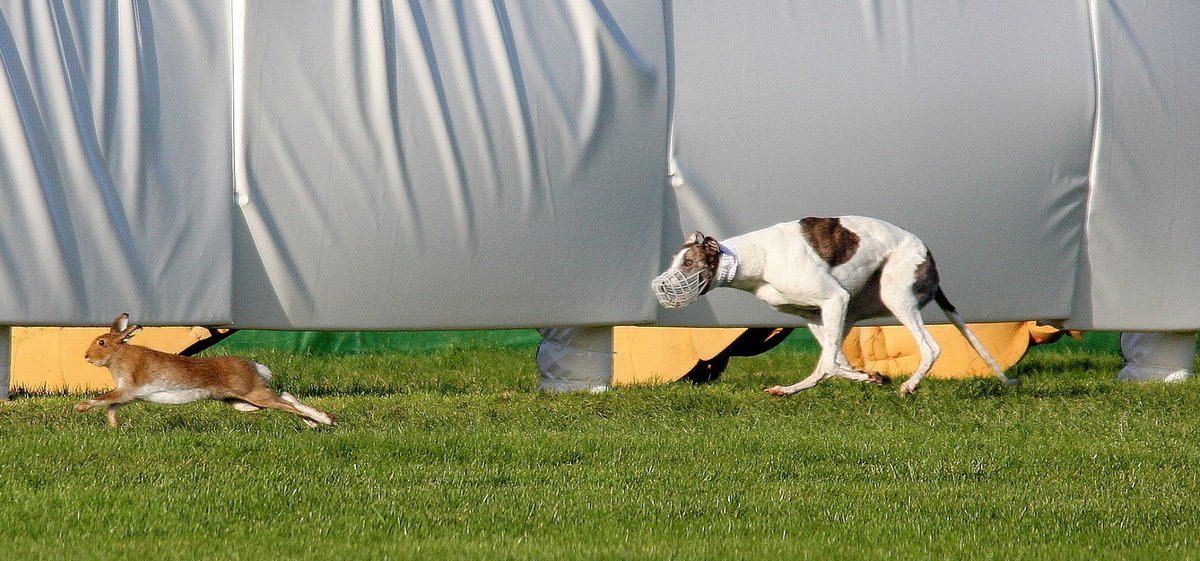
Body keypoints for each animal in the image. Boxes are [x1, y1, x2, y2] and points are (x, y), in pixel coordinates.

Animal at [652, 214, 1017, 395]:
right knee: (831, 358)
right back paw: (791, 389)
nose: (660, 287)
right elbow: (834, 361)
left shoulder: (833, 299)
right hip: (854, 309)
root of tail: (928, 256)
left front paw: (870, 377)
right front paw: (869, 376)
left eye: (689, 262)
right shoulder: (815, 313)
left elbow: (831, 363)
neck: (757, 259)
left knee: (930, 348)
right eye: (677, 260)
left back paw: (909, 385)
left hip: (894, 295)